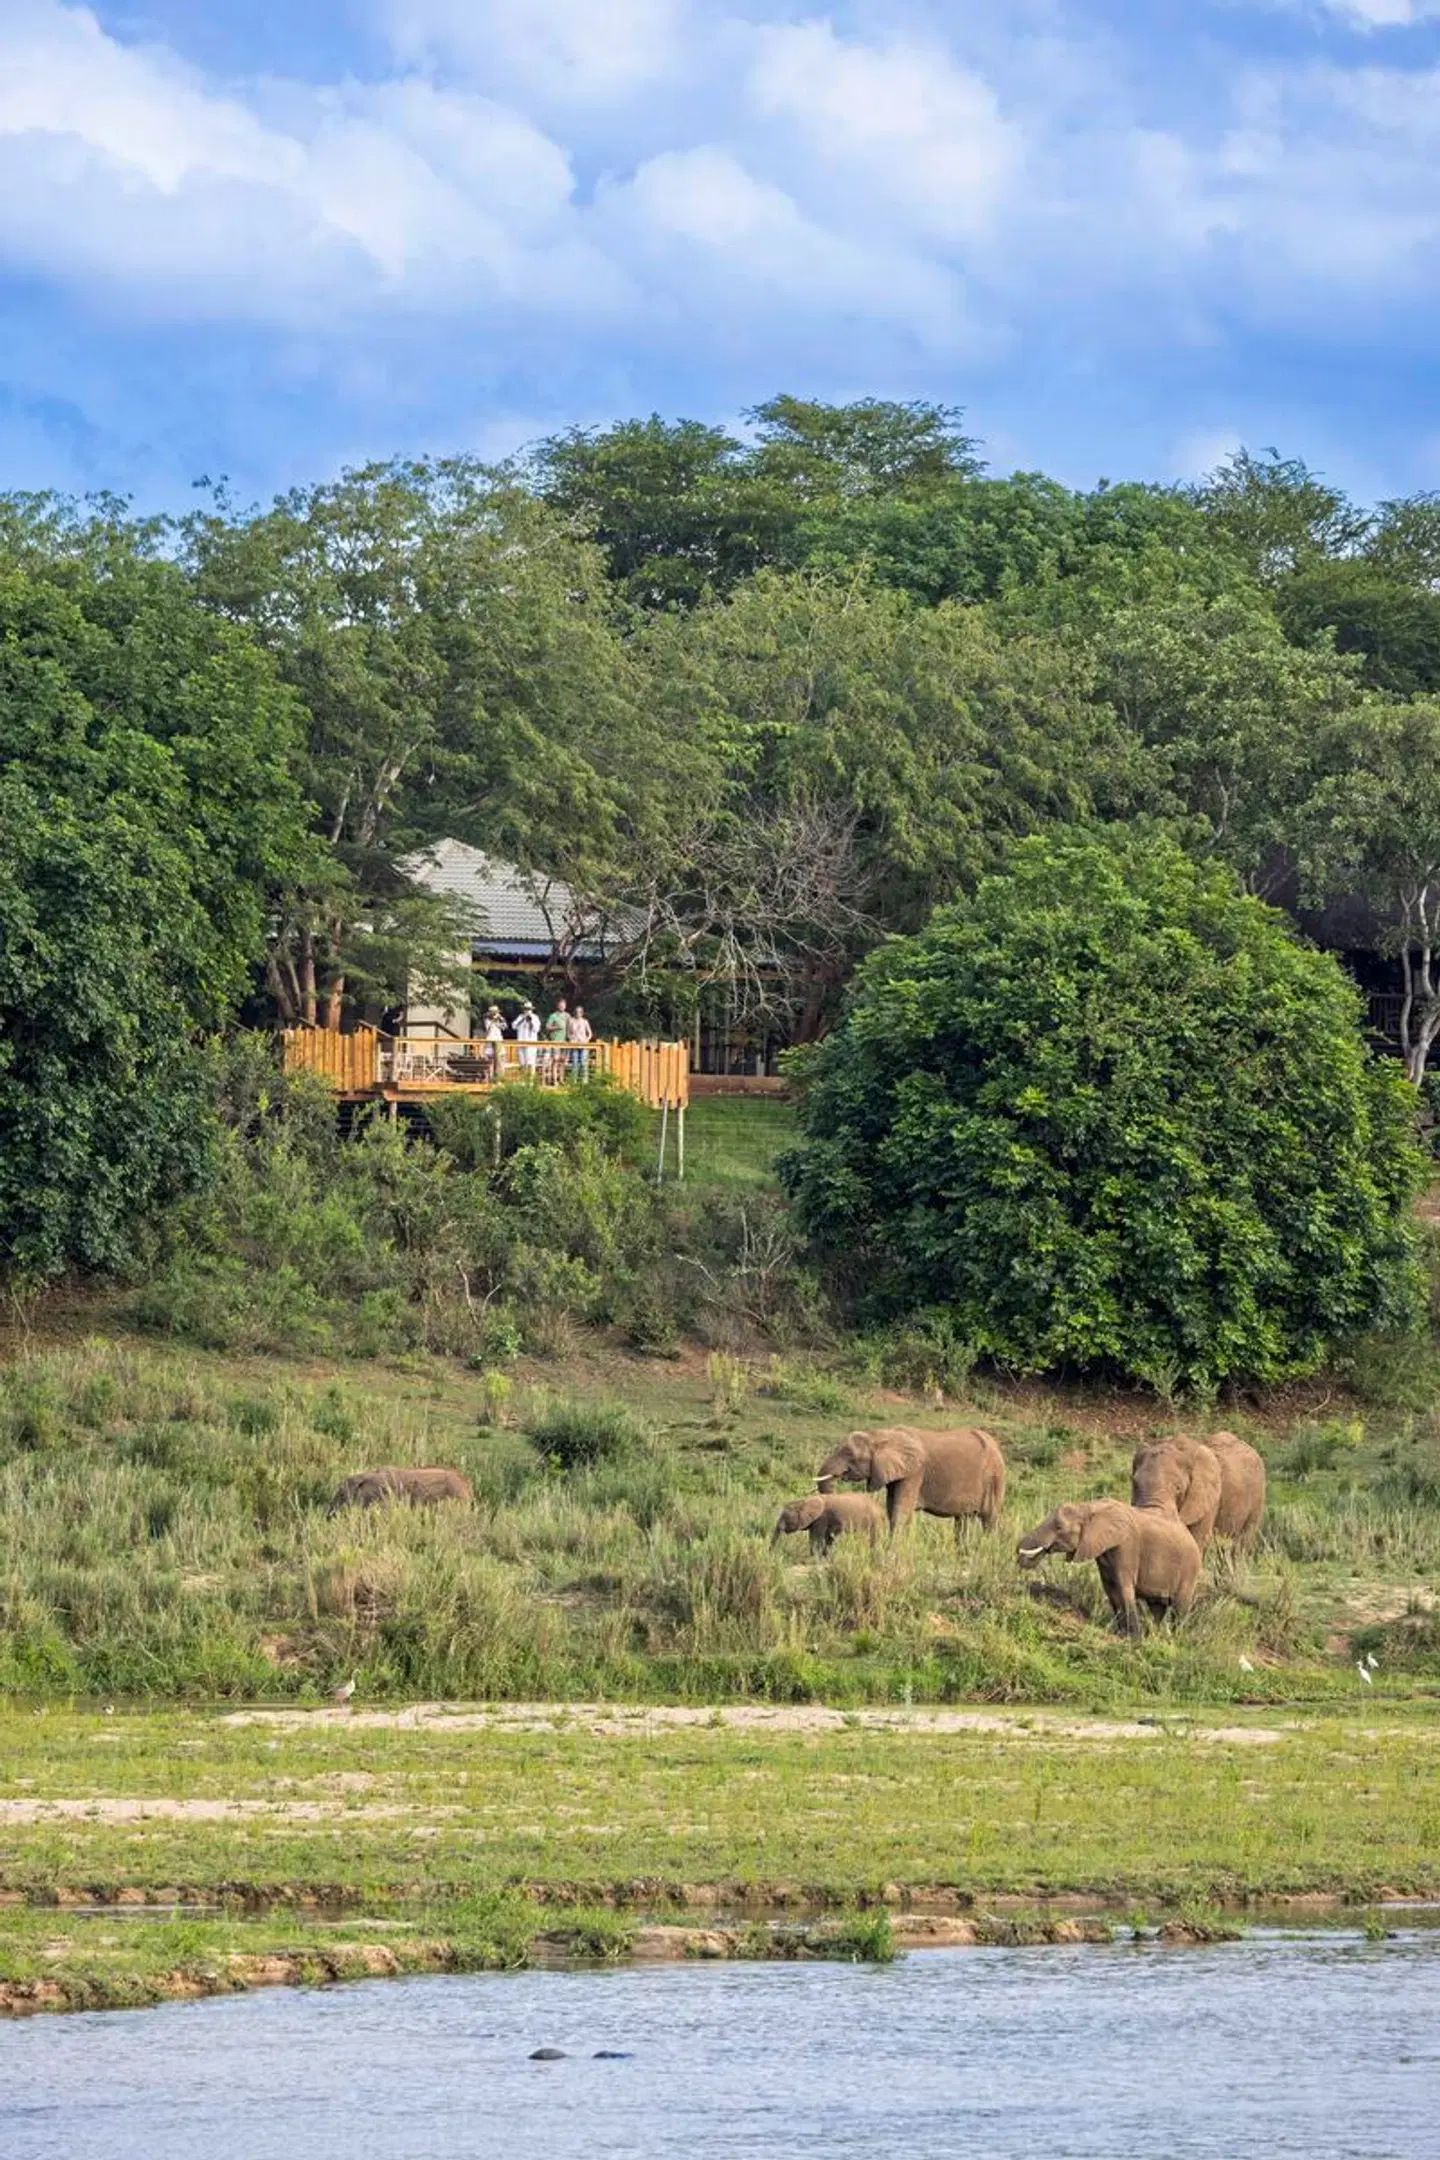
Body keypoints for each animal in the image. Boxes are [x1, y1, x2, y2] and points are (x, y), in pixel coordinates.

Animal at [815, 1426, 1006, 1539]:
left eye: (850, 1454)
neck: (882, 1435)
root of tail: (996, 1446)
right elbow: (892, 1509)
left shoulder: (914, 1473)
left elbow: (900, 1511)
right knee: (963, 1520)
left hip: (994, 1478)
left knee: (989, 1519)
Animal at [1016, 1500, 1201, 1636]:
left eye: (1059, 1527)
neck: (1089, 1507)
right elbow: (1111, 1590)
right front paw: (1123, 1634)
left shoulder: (1127, 1546)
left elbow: (1123, 1588)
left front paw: (1134, 1639)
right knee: (1157, 1608)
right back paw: (1154, 1636)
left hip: (1189, 1570)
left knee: (1179, 1607)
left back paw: (1175, 1639)